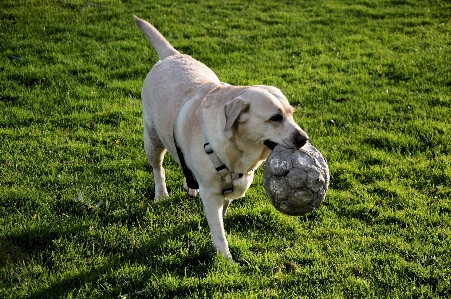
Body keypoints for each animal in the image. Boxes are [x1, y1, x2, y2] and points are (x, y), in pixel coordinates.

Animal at [134, 16, 308, 262]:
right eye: (275, 118)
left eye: (291, 114)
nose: (304, 138)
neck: (237, 153)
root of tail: (172, 55)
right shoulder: (211, 194)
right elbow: (218, 231)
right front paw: (227, 260)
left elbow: (223, 211)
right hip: (152, 138)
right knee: (158, 169)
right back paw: (161, 194)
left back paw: (189, 187)